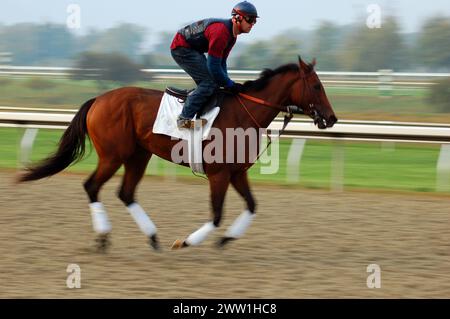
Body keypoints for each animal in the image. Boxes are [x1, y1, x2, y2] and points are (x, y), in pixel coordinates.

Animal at [19, 57, 338, 252]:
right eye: (316, 85)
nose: (332, 118)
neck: (244, 113)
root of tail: (98, 99)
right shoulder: (219, 174)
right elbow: (216, 214)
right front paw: (185, 242)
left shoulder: (237, 172)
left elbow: (251, 205)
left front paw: (226, 239)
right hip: (113, 155)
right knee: (92, 186)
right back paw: (104, 236)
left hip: (138, 156)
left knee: (126, 193)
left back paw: (152, 237)